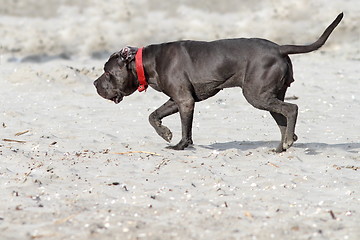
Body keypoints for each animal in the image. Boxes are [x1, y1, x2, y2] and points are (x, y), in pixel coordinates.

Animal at [93, 12, 344, 152]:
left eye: (107, 72)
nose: (95, 84)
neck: (145, 62)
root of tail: (279, 48)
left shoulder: (185, 101)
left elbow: (185, 129)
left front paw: (180, 145)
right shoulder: (177, 99)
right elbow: (153, 115)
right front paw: (165, 133)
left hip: (257, 95)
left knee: (292, 109)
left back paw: (288, 142)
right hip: (269, 95)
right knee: (283, 118)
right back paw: (282, 146)